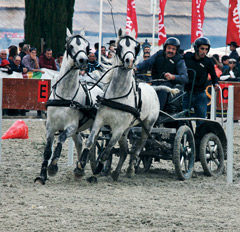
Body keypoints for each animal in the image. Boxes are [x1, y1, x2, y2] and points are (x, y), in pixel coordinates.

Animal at [34, 29, 103, 185]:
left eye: (87, 47)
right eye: (71, 46)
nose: (84, 60)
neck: (65, 96)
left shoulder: (71, 126)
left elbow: (61, 138)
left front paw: (53, 167)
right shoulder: (50, 126)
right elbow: (47, 151)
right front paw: (42, 176)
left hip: (95, 125)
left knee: (92, 142)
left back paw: (88, 169)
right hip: (78, 130)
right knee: (81, 144)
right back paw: (79, 170)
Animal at [75, 29, 178, 182]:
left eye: (136, 47)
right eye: (119, 47)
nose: (129, 62)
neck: (118, 96)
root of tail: (153, 88)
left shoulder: (118, 128)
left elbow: (106, 152)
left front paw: (96, 172)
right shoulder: (99, 121)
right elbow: (90, 142)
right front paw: (80, 167)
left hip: (146, 126)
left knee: (138, 148)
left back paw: (130, 170)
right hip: (127, 129)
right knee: (124, 152)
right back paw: (116, 173)